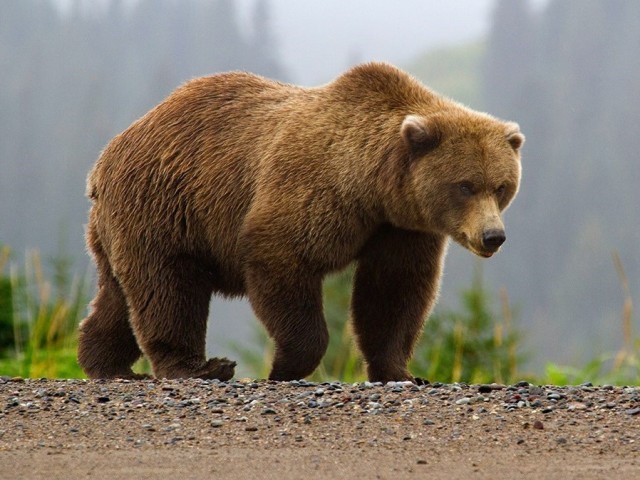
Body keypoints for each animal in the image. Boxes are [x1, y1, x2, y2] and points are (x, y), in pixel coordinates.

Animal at [76, 62, 524, 382]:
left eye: (502, 186)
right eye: (465, 185)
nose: (493, 236)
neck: (373, 187)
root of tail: (106, 157)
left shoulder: (401, 228)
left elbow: (394, 292)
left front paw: (402, 372)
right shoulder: (313, 190)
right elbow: (282, 259)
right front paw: (284, 366)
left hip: (124, 225)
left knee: (119, 295)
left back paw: (105, 363)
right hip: (166, 206)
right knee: (168, 288)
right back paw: (199, 367)